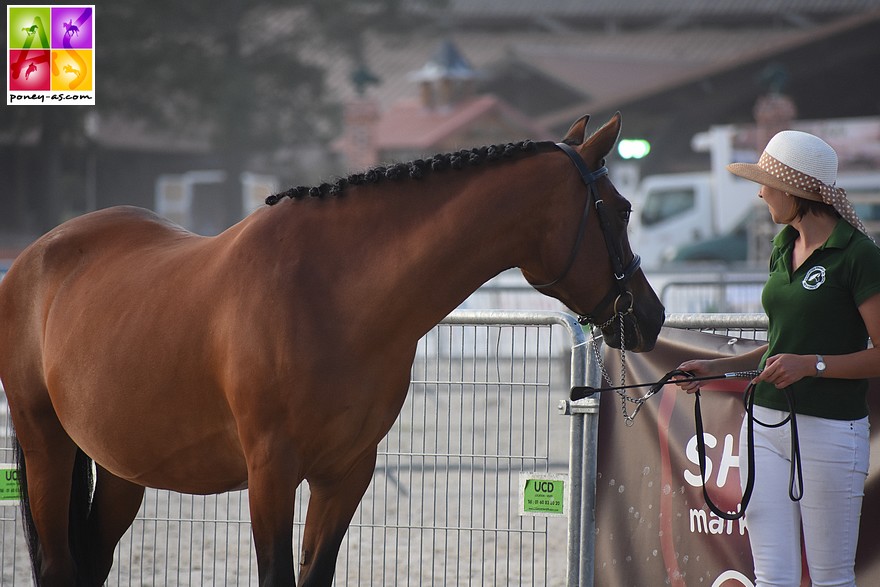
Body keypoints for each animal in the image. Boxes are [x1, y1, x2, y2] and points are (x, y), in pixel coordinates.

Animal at [0, 112, 660, 584]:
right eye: (622, 209)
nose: (650, 319)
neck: (333, 294)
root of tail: (35, 256)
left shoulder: (345, 474)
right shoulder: (270, 474)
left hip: (120, 467)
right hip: (45, 444)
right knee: (58, 568)